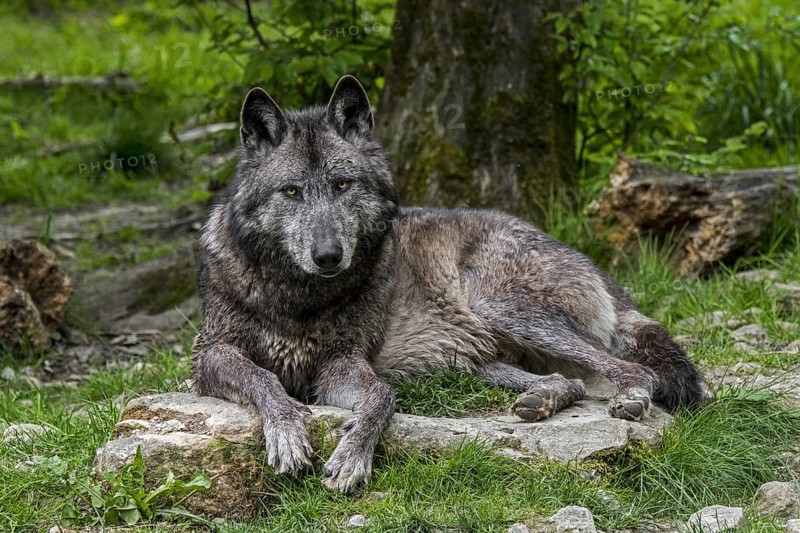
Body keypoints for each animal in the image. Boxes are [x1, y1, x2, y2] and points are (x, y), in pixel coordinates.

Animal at [192, 75, 704, 493]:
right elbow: (263, 377)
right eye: (291, 191)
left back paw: (629, 396)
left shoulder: (340, 363)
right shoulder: (210, 355)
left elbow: (382, 396)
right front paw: (287, 432)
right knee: (568, 381)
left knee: (631, 369)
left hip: (499, 308)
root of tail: (594, 266)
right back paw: (541, 399)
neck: (298, 297)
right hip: (468, 362)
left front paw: (353, 457)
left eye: (342, 185)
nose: (328, 256)